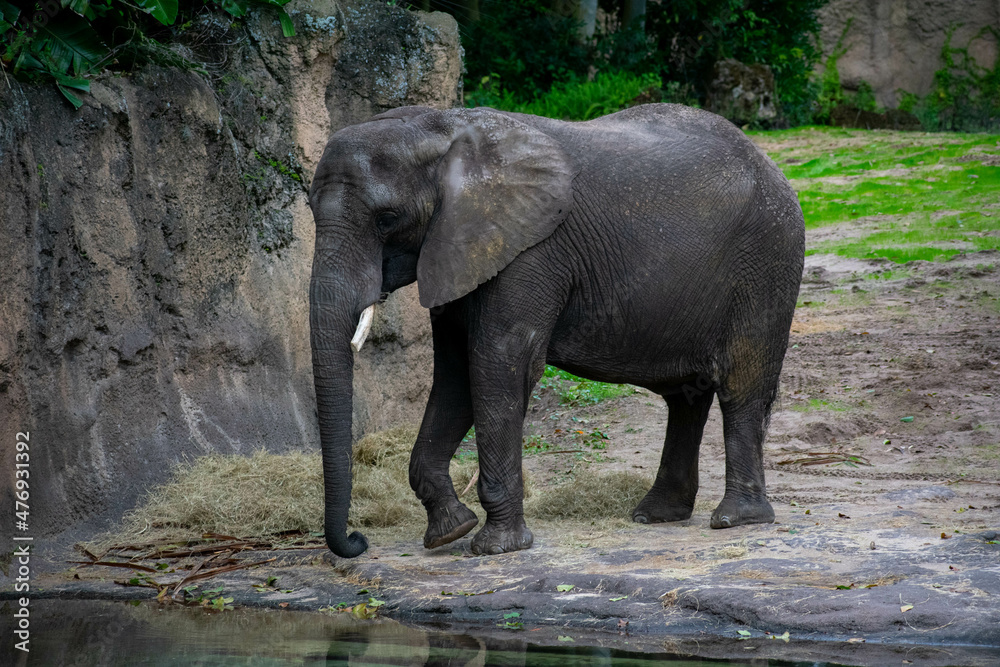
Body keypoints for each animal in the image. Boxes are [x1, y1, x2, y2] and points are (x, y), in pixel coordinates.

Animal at [308, 103, 805, 558]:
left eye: (386, 219)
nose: (358, 540)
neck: (441, 126)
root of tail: (771, 165)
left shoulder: (531, 250)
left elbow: (498, 364)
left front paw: (496, 547)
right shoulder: (461, 248)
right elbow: (455, 374)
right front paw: (449, 532)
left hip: (768, 260)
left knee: (741, 386)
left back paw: (736, 519)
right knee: (686, 396)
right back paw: (656, 515)